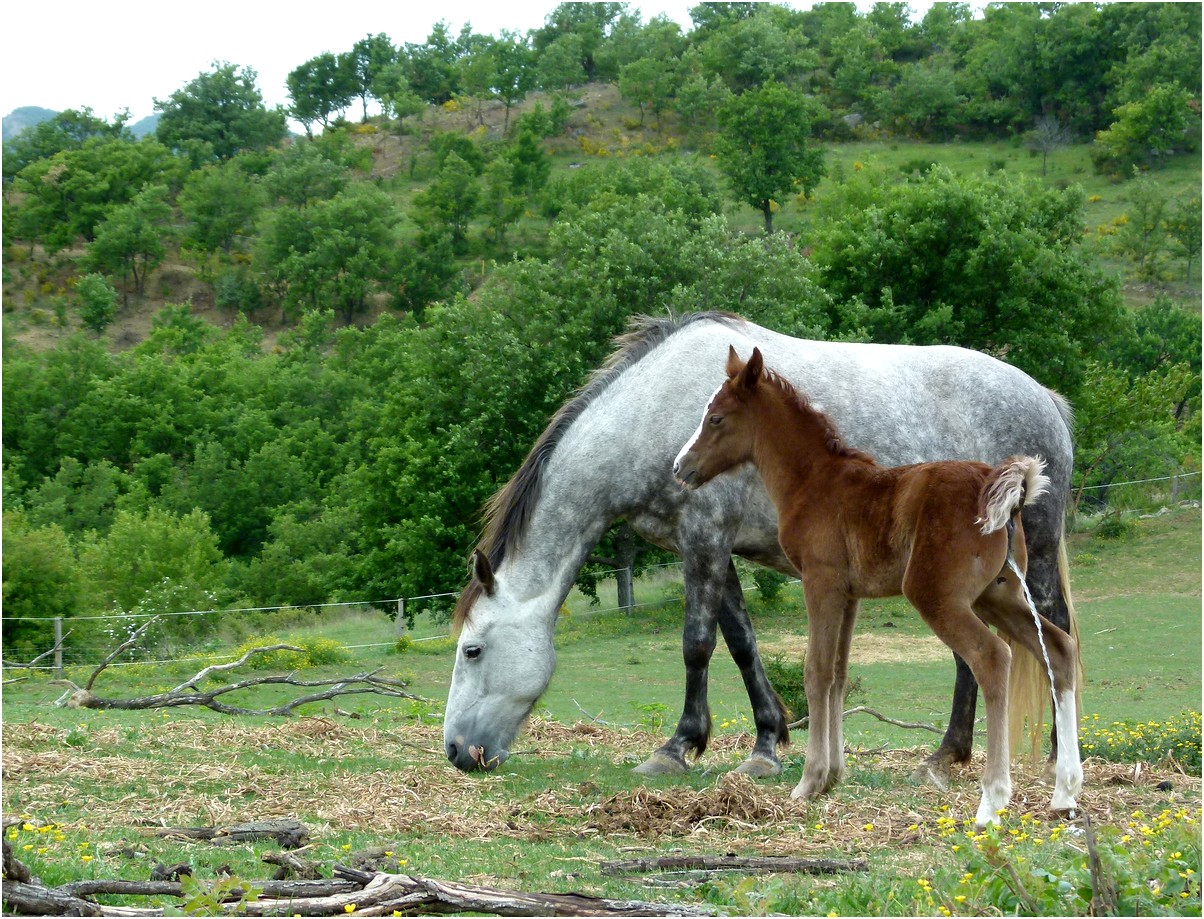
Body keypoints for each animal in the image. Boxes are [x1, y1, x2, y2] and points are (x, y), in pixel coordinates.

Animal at [447, 310, 1078, 785]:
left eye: (472, 650)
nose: (456, 752)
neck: (655, 414)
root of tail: (1045, 397)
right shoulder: (707, 547)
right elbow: (741, 643)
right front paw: (765, 745)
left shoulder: (704, 538)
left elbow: (697, 645)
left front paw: (675, 748)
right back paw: (945, 756)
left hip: (1036, 554)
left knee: (1054, 632)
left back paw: (1053, 752)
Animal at [679, 349, 1083, 828]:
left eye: (716, 418)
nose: (680, 467)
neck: (814, 480)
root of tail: (1000, 487)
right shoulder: (850, 595)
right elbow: (838, 674)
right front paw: (831, 777)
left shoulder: (820, 582)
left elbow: (816, 672)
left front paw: (808, 781)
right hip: (999, 596)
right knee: (1058, 649)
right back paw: (1065, 791)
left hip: (938, 597)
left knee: (992, 658)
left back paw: (992, 801)